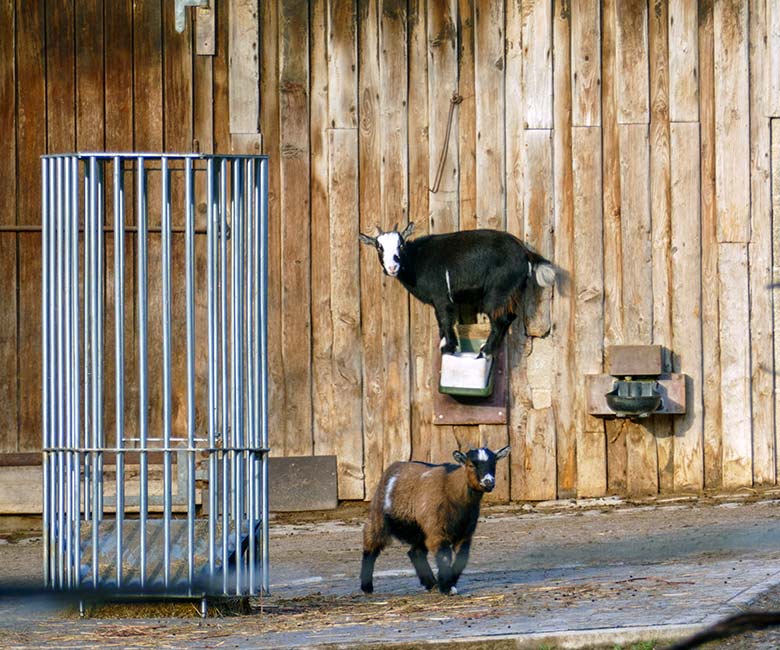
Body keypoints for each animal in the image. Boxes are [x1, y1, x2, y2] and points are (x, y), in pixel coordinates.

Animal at [360, 223, 556, 354]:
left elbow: (446, 319)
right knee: (509, 317)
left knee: (501, 319)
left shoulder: (441, 295)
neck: (416, 259)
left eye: (400, 245)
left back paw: (485, 351)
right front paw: (444, 344)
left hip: (498, 290)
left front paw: (448, 347)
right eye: (379, 247)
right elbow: (440, 321)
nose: (392, 267)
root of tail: (526, 254)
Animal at [362, 446, 508, 592]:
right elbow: (444, 557)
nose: (488, 482)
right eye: (471, 465)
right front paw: (447, 587)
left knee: (415, 553)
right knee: (371, 546)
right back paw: (366, 586)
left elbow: (462, 559)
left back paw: (431, 584)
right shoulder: (437, 530)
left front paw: (450, 584)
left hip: (421, 529)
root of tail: (394, 466)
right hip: (379, 518)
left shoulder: (465, 533)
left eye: (494, 463)